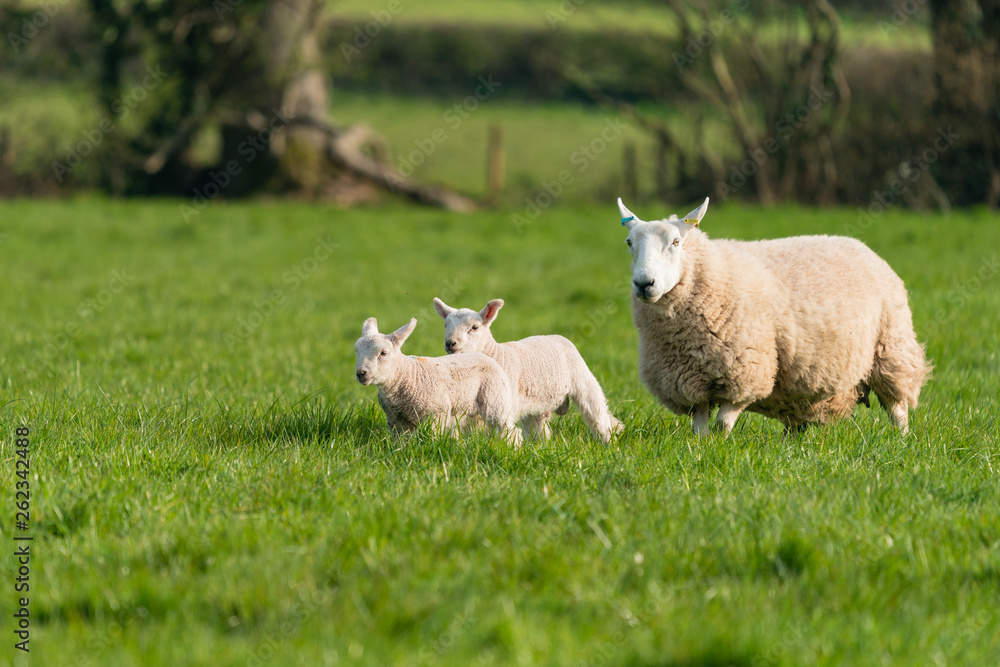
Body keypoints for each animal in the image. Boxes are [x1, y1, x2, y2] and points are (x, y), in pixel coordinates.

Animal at [354, 317, 522, 445]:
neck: (408, 375)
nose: (361, 373)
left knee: (510, 431)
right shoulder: (395, 421)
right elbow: (401, 443)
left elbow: (430, 439)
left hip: (496, 400)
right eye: (356, 351)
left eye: (383, 353)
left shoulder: (436, 414)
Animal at [432, 297, 623, 442]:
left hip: (584, 380)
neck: (496, 354)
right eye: (445, 326)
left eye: (474, 327)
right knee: (539, 430)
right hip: (536, 405)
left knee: (597, 416)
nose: (450, 343)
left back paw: (609, 443)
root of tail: (556, 336)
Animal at [616, 196, 930, 435]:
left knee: (897, 406)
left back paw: (901, 440)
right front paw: (701, 451)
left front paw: (719, 448)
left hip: (891, 349)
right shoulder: (689, 381)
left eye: (676, 242)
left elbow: (722, 423)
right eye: (629, 242)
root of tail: (860, 245)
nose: (644, 283)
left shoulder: (748, 372)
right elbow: (701, 428)